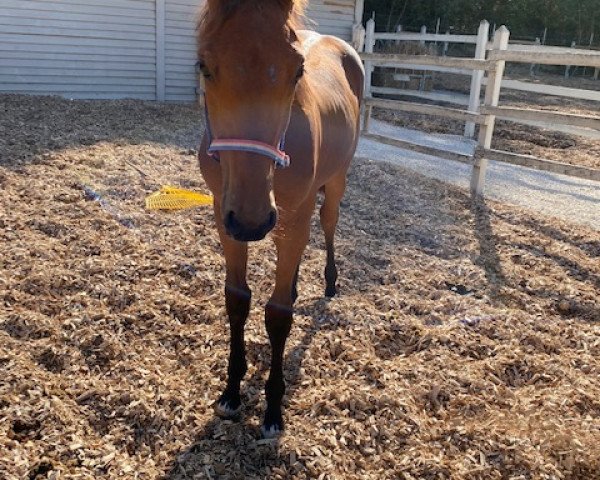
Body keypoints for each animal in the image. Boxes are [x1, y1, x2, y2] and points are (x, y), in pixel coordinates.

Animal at [199, 0, 364, 436]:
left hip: (334, 184)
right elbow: (237, 299)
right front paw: (231, 391)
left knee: (329, 223)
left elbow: (278, 316)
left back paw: (329, 281)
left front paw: (273, 408)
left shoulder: (290, 218)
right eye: (204, 66)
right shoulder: (225, 216)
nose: (252, 220)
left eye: (297, 71)